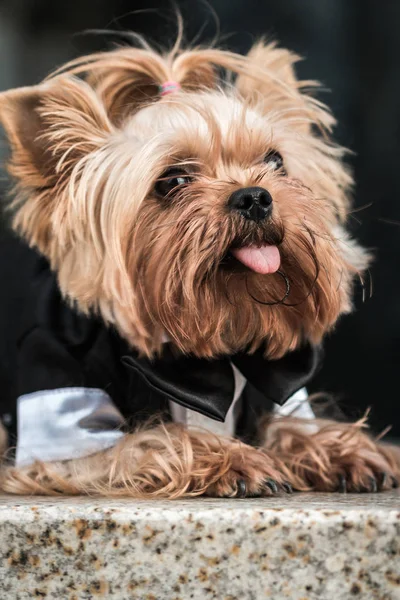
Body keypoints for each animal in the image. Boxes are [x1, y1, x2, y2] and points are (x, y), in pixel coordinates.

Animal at [0, 35, 396, 500]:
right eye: (172, 181)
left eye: (275, 161)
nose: (254, 196)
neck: (209, 340)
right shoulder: (58, 409)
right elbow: (150, 441)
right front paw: (235, 462)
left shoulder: (280, 390)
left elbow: (289, 424)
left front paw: (339, 449)